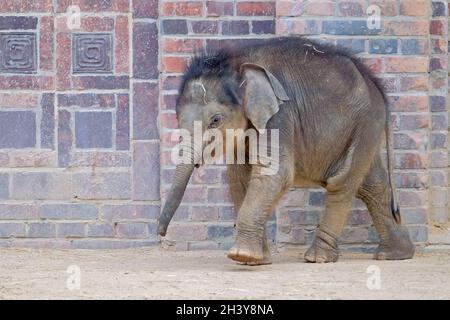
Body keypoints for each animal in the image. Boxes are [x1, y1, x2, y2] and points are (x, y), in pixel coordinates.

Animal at [158, 36, 414, 264]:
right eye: (177, 117)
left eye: (215, 120)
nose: (160, 233)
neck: (238, 62)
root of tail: (377, 86)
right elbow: (239, 179)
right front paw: (256, 260)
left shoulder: (281, 115)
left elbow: (274, 173)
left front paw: (242, 256)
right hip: (363, 129)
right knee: (372, 185)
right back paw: (395, 255)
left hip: (365, 122)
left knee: (342, 182)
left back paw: (318, 258)